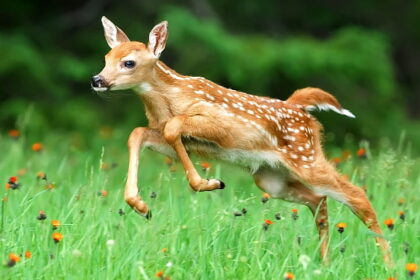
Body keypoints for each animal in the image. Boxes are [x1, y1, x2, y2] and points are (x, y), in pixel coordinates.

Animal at [91, 18, 390, 264]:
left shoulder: (219, 124)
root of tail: (301, 109)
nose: (97, 79)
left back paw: (388, 263)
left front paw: (207, 183)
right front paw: (141, 206)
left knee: (357, 195)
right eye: (106, 57)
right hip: (271, 178)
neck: (168, 100)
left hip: (306, 157)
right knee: (318, 200)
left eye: (129, 62)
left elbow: (174, 127)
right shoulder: (173, 136)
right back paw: (325, 263)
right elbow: (138, 133)